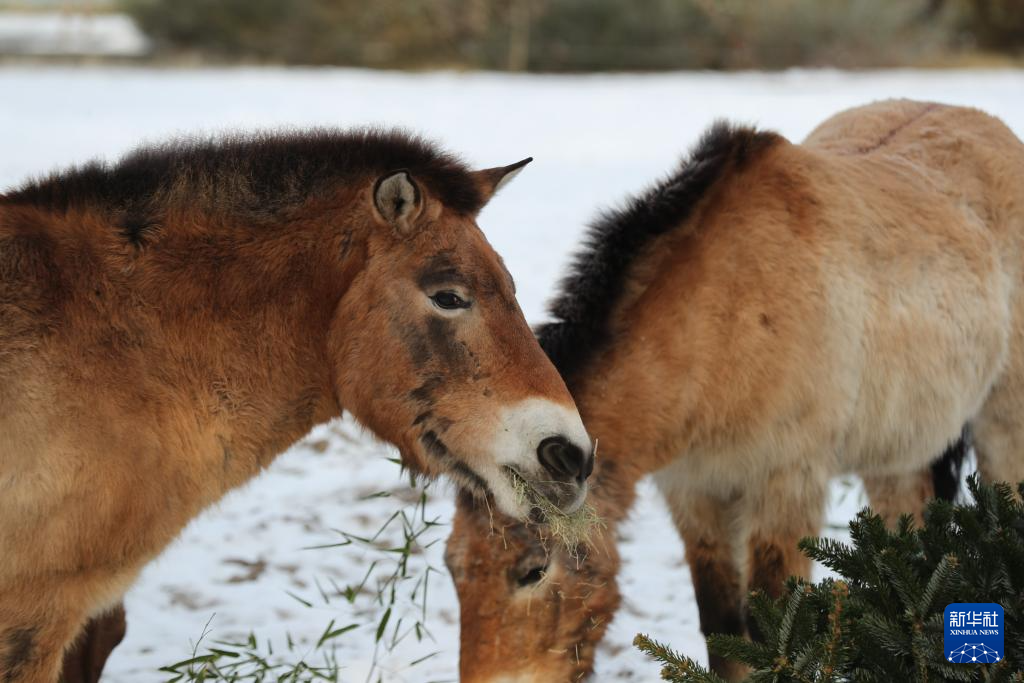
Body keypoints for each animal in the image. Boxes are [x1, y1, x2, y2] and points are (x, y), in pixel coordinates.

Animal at [444, 99, 1024, 682]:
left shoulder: (786, 488)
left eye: (533, 570)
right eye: (452, 566)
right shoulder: (696, 493)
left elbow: (776, 636)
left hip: (1001, 431)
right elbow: (723, 631)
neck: (726, 319)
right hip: (897, 458)